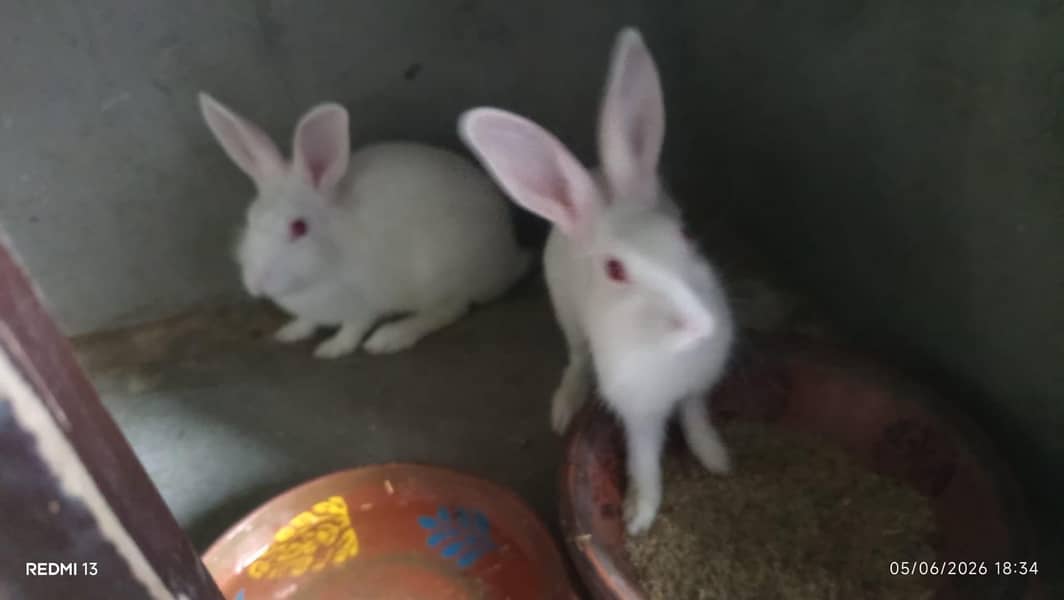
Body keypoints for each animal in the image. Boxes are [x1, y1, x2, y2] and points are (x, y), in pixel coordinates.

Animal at [198, 93, 532, 359]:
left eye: (299, 228)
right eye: (250, 219)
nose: (256, 284)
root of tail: (508, 256)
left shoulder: (363, 303)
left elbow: (354, 327)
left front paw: (332, 349)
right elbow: (308, 321)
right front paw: (290, 333)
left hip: (442, 272)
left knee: (449, 310)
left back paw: (390, 337)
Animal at [458, 27, 734, 534]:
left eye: (685, 234)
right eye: (616, 271)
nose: (701, 326)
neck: (672, 353)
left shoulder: (696, 387)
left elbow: (696, 418)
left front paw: (717, 459)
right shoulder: (640, 413)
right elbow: (645, 461)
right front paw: (638, 517)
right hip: (567, 317)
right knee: (577, 358)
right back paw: (564, 407)